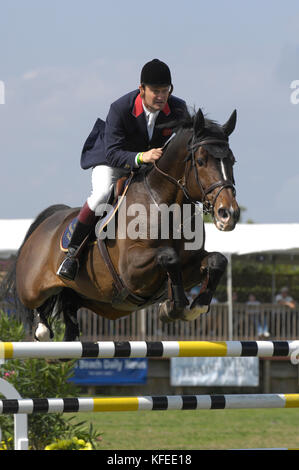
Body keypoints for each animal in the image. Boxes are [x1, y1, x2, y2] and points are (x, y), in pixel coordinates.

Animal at [0, 108, 239, 340]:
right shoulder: (131, 270)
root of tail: (45, 224)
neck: (166, 206)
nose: (228, 214)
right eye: (201, 161)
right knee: (35, 308)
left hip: (79, 296)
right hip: (31, 288)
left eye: (232, 161)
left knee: (70, 321)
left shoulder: (190, 264)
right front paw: (174, 307)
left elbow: (217, 260)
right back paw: (43, 323)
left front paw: (195, 305)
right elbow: (169, 256)